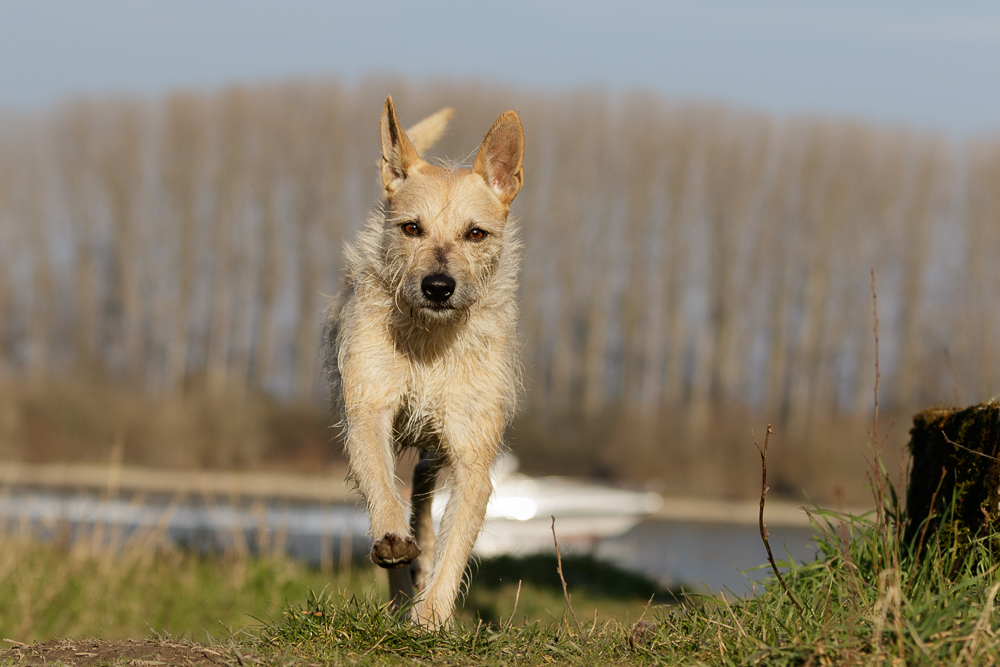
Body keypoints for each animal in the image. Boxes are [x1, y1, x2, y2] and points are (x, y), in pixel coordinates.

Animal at [326, 96, 528, 628]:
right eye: (411, 228)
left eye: (475, 234)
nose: (439, 287)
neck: (431, 341)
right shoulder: (369, 410)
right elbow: (379, 480)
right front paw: (395, 542)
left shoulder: (472, 457)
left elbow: (456, 546)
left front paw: (433, 617)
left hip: (441, 442)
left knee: (423, 487)